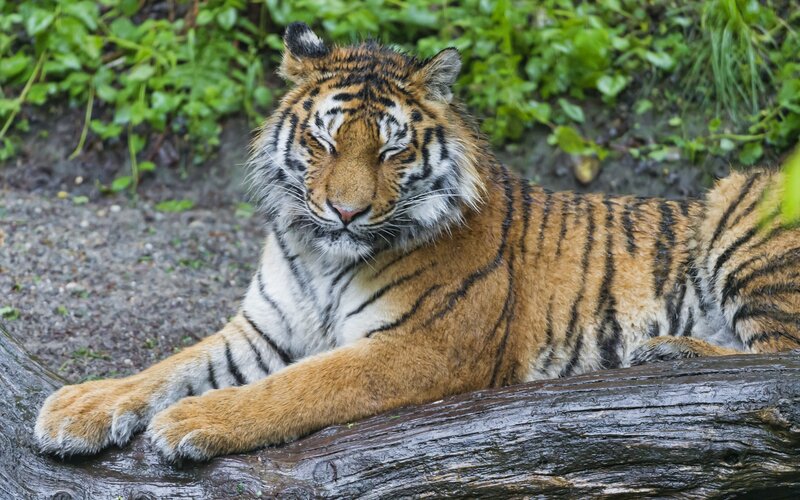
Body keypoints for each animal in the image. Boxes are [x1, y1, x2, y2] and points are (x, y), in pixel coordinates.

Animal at [36, 22, 800, 462]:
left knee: (775, 362)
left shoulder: (422, 345)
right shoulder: (263, 329)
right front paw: (80, 408)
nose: (345, 212)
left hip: (739, 211)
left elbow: (300, 386)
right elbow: (171, 364)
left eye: (391, 150)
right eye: (323, 141)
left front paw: (192, 421)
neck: (323, 257)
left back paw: (667, 352)